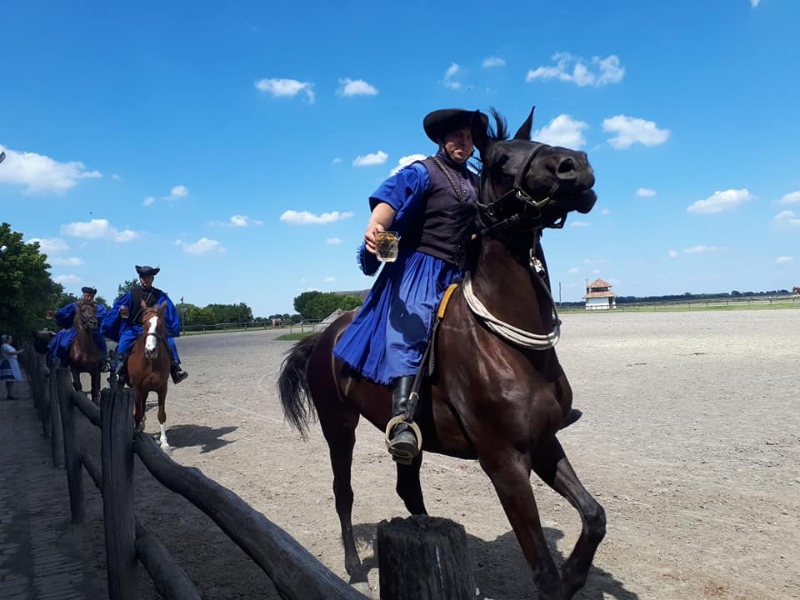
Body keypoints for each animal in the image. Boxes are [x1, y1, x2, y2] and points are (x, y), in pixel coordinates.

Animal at [127, 300, 172, 452]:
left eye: (161, 323)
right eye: (143, 322)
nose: (150, 350)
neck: (150, 362)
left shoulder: (162, 388)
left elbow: (161, 414)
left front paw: (164, 443)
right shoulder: (137, 388)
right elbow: (137, 413)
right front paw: (135, 434)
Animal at [278, 108, 605, 600]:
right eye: (500, 158)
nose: (576, 166)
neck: (510, 346)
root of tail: (324, 338)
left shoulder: (545, 441)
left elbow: (594, 516)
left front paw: (576, 575)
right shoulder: (505, 463)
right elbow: (544, 573)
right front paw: (562, 579)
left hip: (407, 438)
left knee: (407, 488)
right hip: (339, 426)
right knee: (343, 493)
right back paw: (354, 568)